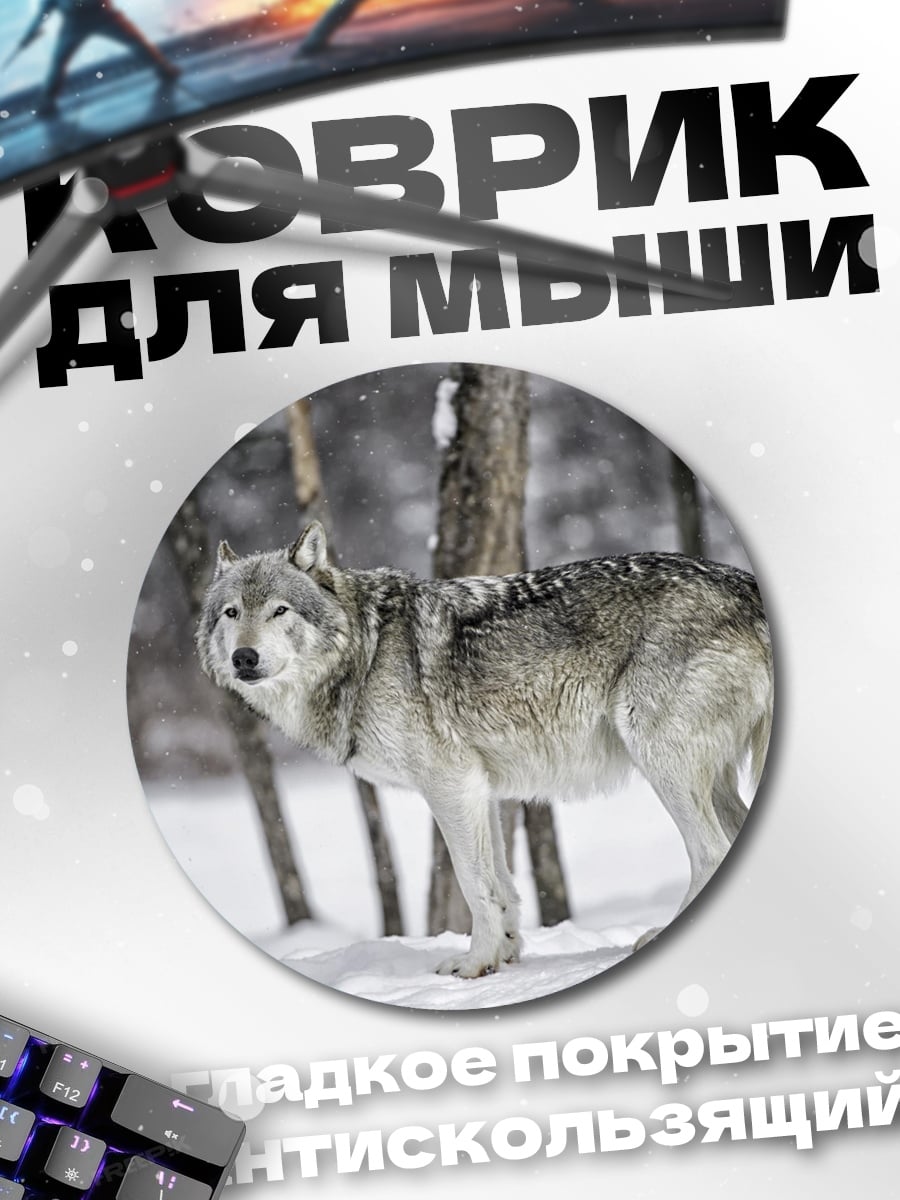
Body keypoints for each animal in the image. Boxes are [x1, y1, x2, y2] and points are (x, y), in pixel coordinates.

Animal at [197, 521, 773, 978]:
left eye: (279, 611)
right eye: (231, 613)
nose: (245, 658)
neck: (366, 651)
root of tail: (745, 584)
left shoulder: (449, 785)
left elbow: (473, 884)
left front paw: (474, 965)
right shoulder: (482, 789)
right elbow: (501, 885)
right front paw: (504, 956)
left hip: (662, 764)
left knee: (709, 852)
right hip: (710, 779)